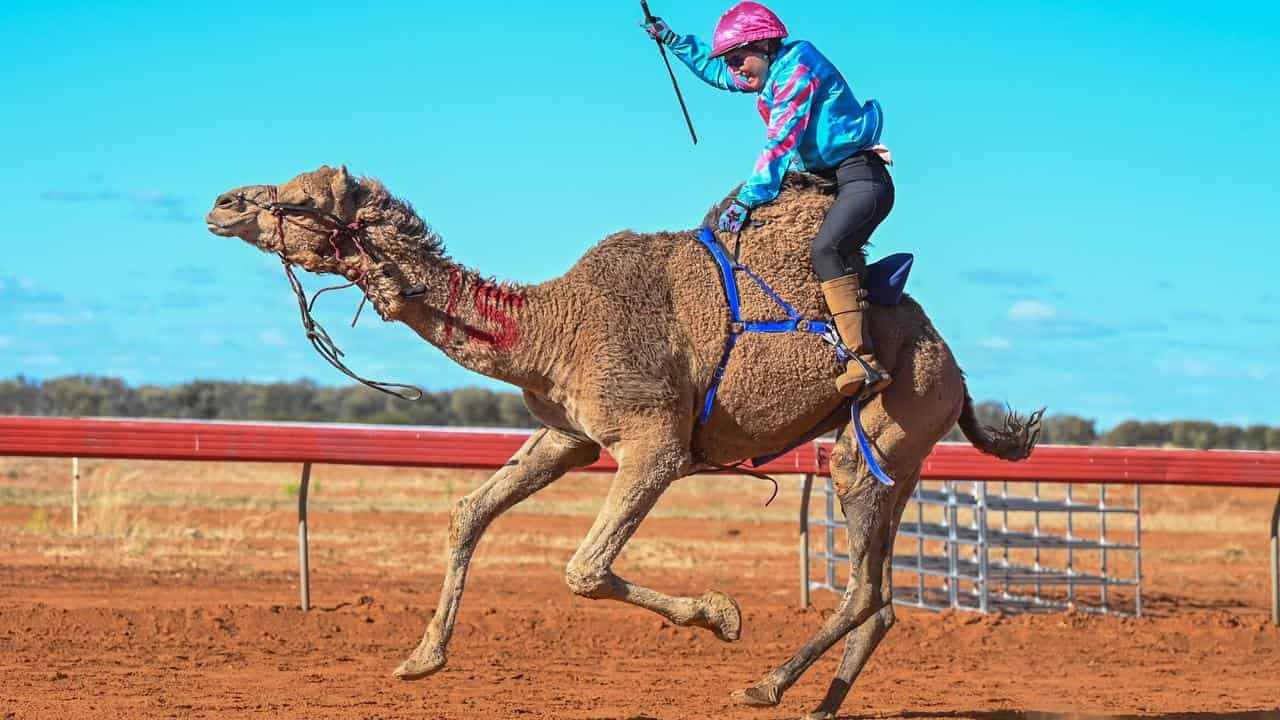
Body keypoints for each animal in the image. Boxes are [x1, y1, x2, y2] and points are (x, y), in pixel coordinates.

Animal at [205, 165, 1041, 720]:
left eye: (300, 198)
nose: (220, 203)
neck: (551, 325)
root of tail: (958, 371)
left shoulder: (654, 445)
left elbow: (583, 569)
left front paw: (720, 615)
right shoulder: (568, 437)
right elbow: (470, 513)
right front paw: (420, 658)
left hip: (884, 429)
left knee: (865, 586)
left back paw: (765, 684)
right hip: (900, 457)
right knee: (885, 597)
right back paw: (818, 704)